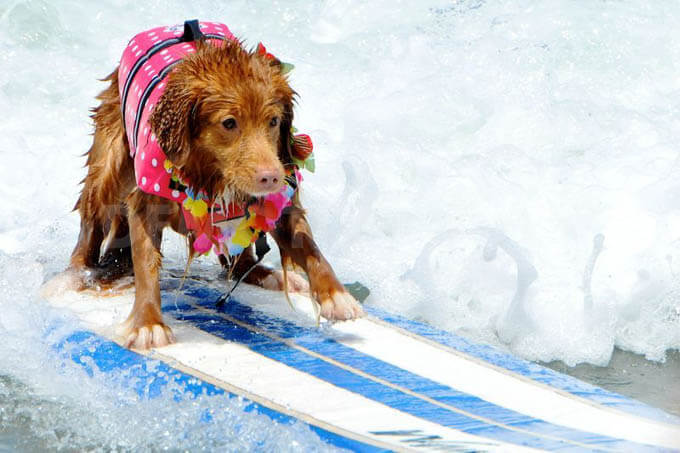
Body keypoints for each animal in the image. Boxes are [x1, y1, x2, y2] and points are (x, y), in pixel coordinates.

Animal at [68, 28, 364, 348]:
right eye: (229, 123)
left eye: (273, 121)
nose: (271, 177)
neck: (212, 176)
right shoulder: (146, 205)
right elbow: (146, 263)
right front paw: (148, 323)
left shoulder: (281, 197)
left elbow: (308, 244)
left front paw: (337, 296)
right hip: (109, 162)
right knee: (93, 216)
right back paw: (74, 275)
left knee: (238, 261)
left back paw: (265, 274)